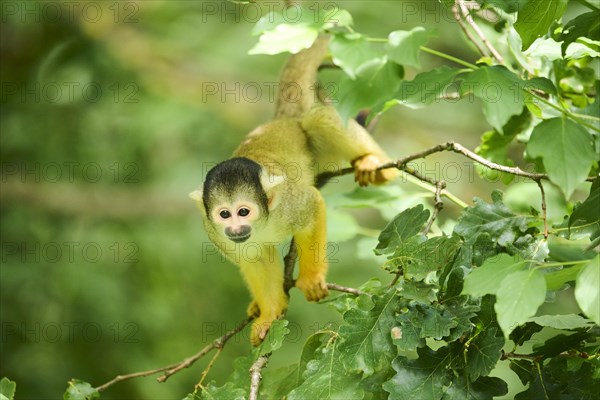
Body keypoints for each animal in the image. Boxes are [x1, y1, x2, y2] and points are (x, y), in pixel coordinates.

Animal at [192, 36, 396, 346]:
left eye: (243, 211)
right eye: (224, 214)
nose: (235, 228)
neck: (264, 220)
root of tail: (282, 120)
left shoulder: (290, 202)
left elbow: (312, 206)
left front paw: (310, 278)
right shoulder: (214, 232)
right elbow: (254, 258)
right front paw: (269, 312)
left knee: (319, 119)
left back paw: (375, 162)